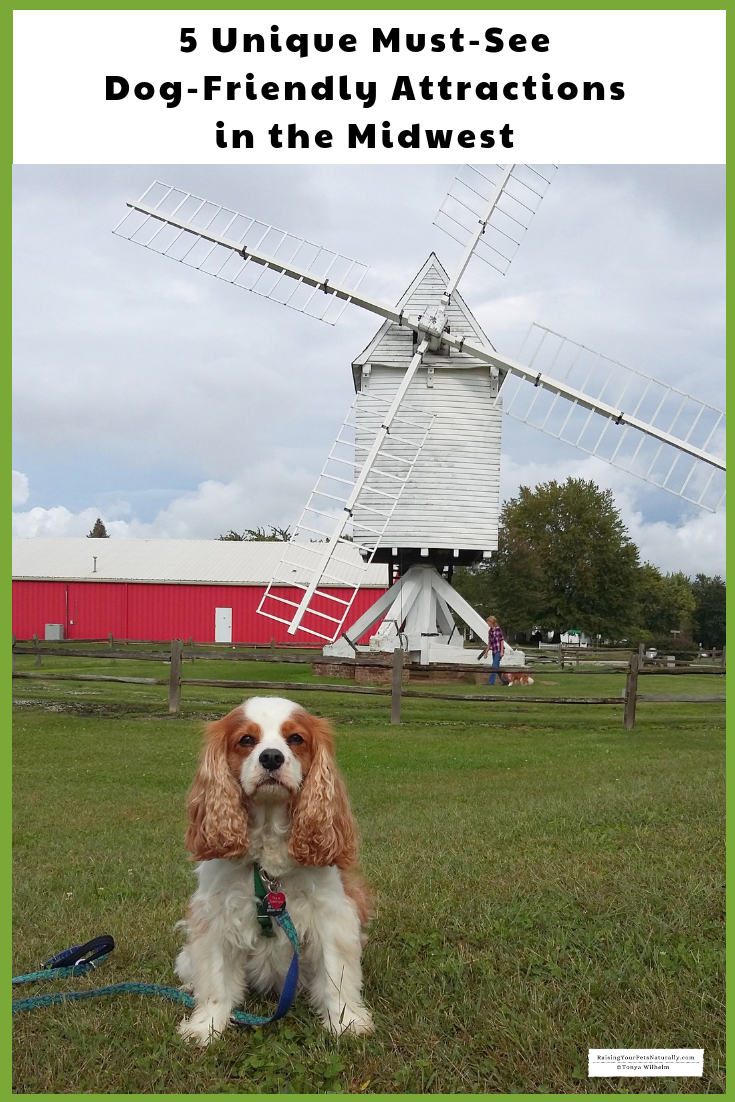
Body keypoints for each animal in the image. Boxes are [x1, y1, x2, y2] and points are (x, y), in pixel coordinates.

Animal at [175, 692, 374, 1044]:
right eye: (246, 740)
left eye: (295, 738)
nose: (270, 757)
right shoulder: (216, 914)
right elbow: (215, 979)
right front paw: (206, 1025)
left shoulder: (331, 914)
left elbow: (336, 973)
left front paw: (346, 1021)